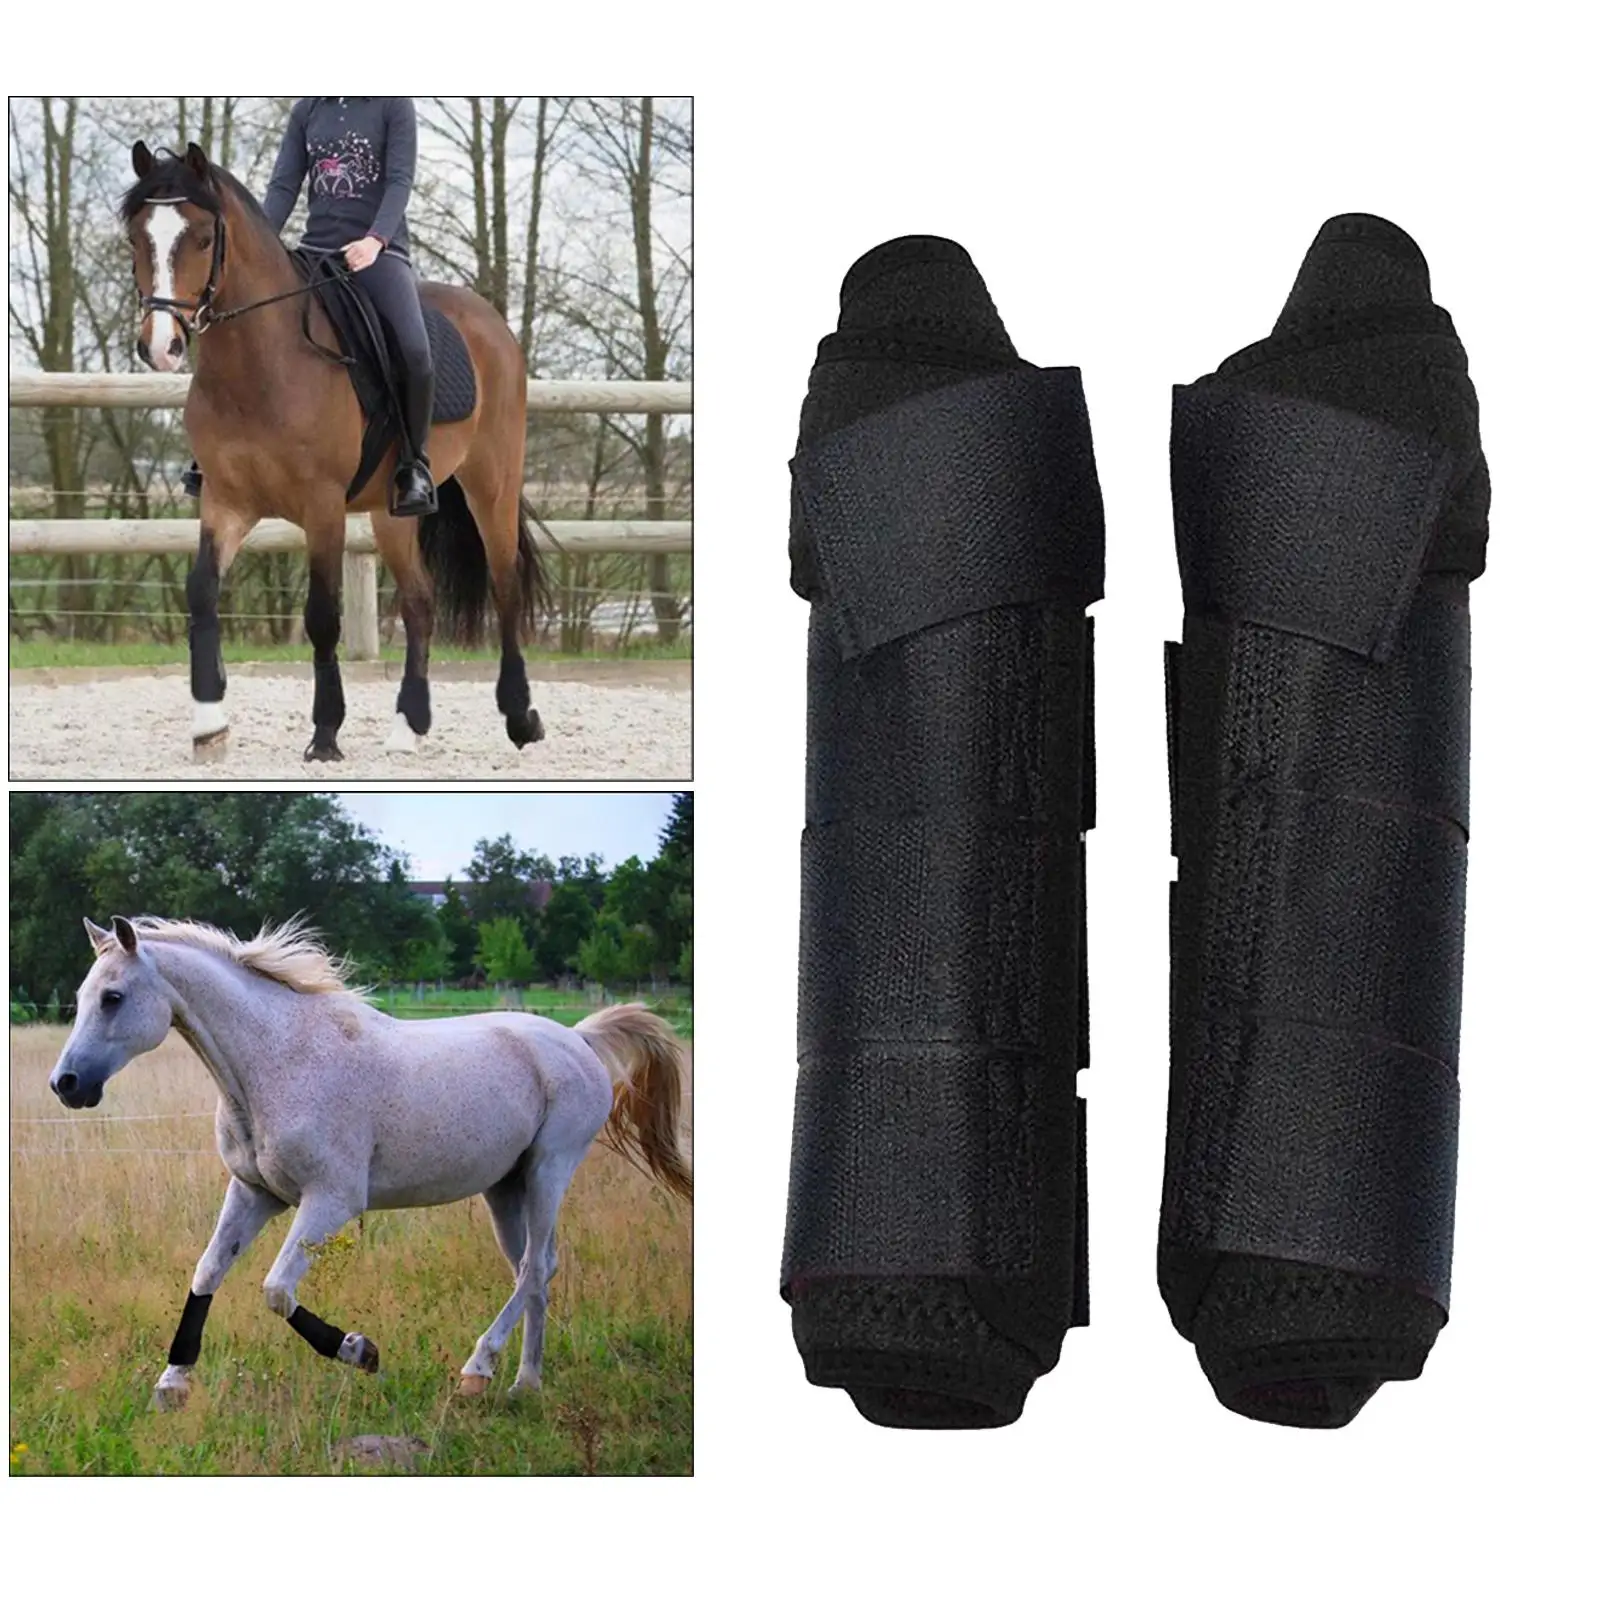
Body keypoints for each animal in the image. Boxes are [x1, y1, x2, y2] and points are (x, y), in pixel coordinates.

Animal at [48, 915, 692, 1409]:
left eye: (113, 998)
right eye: (80, 999)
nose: (66, 1084)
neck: (276, 1062)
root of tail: (579, 1039)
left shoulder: (330, 1201)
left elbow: (276, 1290)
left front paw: (360, 1351)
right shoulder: (255, 1193)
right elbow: (207, 1272)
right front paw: (172, 1385)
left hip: (548, 1170)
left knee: (535, 1267)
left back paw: (477, 1370)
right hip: (505, 1187)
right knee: (534, 1271)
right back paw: (524, 1385)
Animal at [120, 141, 549, 762]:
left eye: (201, 238)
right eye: (136, 237)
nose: (161, 346)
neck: (262, 364)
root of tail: (491, 321)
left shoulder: (321, 507)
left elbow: (322, 617)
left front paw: (325, 734)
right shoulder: (227, 502)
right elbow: (200, 591)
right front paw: (208, 724)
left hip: (492, 484)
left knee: (506, 587)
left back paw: (520, 718)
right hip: (392, 511)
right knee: (420, 600)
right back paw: (408, 725)